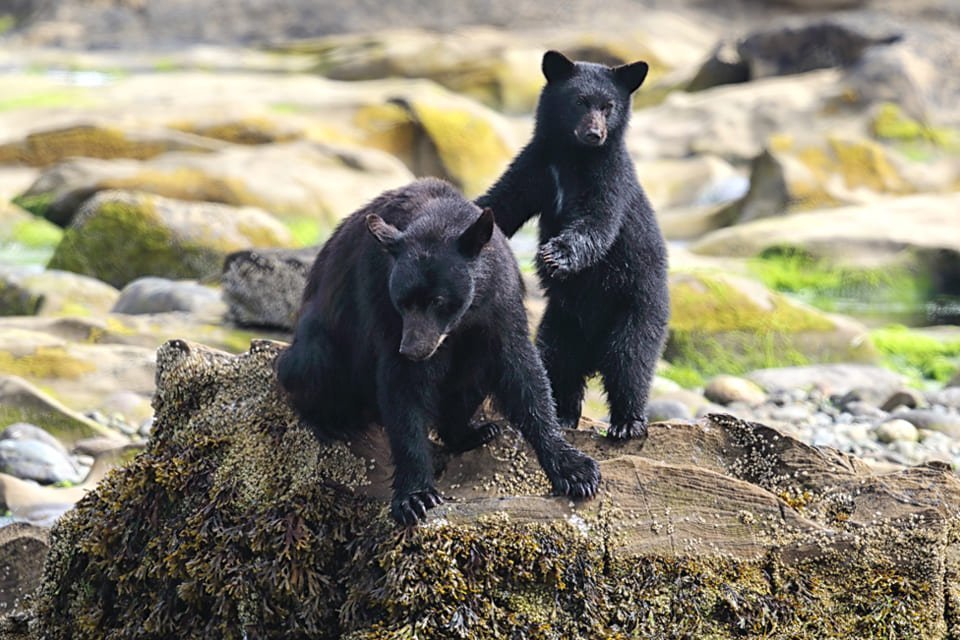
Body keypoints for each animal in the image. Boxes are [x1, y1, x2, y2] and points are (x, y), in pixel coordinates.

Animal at [274, 176, 600, 524]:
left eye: (439, 301)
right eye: (403, 302)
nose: (413, 349)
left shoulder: (500, 300)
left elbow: (522, 372)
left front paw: (576, 471)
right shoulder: (382, 301)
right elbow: (403, 387)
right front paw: (415, 496)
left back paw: (474, 432)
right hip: (322, 342)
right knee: (310, 365)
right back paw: (331, 422)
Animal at [476, 50, 672, 442]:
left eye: (609, 106)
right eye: (580, 101)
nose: (594, 134)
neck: (573, 157)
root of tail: (593, 351)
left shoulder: (611, 177)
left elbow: (597, 220)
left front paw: (556, 256)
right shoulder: (535, 166)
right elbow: (502, 202)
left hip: (638, 308)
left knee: (631, 361)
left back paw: (626, 422)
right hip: (560, 322)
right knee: (557, 363)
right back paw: (564, 414)